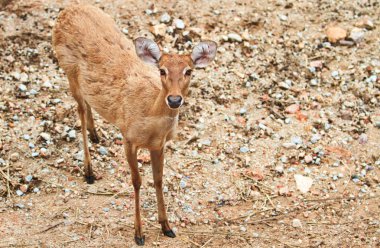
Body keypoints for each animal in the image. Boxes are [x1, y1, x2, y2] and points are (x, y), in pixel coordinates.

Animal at [52, 3, 217, 246]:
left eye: (189, 70)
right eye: (162, 70)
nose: (174, 99)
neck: (149, 115)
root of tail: (69, 8)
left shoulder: (159, 145)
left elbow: (158, 179)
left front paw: (167, 226)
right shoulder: (128, 138)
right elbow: (137, 181)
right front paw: (138, 233)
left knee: (87, 104)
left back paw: (95, 134)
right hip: (68, 68)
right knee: (80, 109)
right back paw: (89, 171)